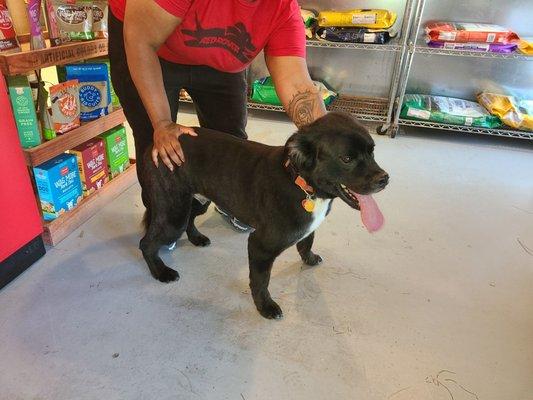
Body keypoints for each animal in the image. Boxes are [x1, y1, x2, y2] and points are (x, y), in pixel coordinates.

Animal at [138, 111, 386, 318]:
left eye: (372, 151)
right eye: (347, 159)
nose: (385, 179)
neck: (301, 183)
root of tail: (154, 144)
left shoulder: (307, 228)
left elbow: (306, 243)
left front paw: (309, 259)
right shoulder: (260, 246)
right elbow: (260, 282)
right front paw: (265, 307)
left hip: (197, 201)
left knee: (190, 218)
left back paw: (197, 238)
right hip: (173, 214)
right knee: (145, 243)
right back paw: (161, 272)